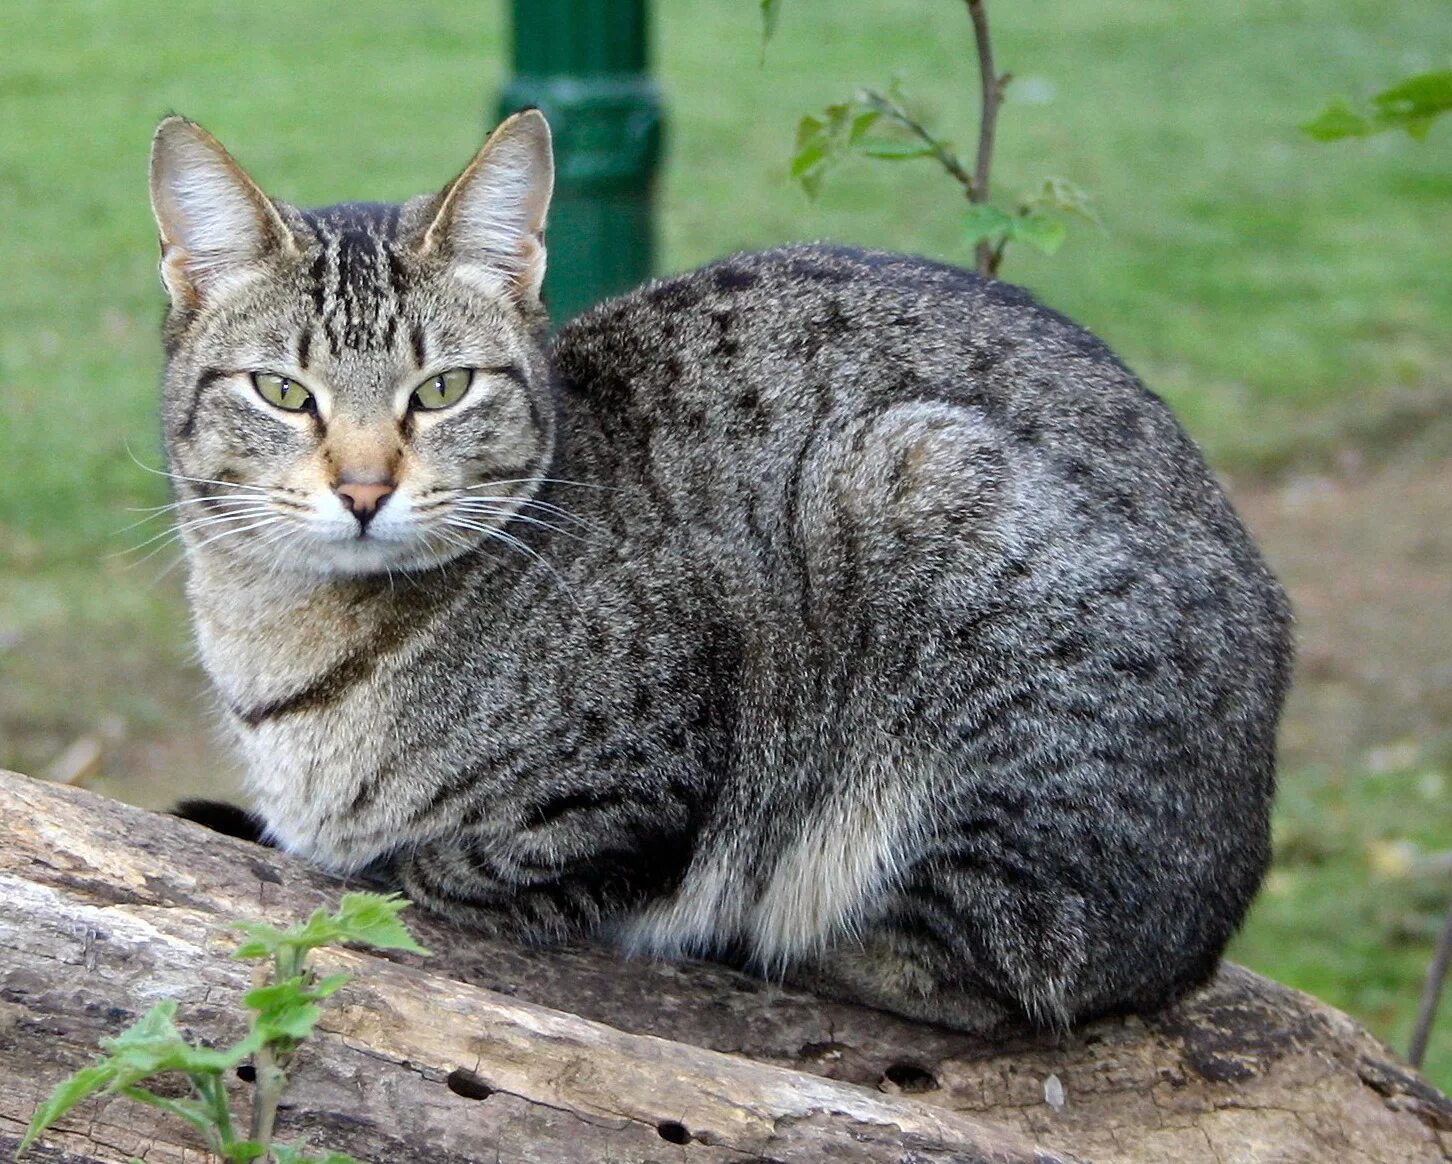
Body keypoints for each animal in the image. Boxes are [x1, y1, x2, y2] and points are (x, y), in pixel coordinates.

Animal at [150, 113, 1295, 1027]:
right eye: (282, 392)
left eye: (442, 389)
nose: (363, 488)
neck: (283, 635)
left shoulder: (628, 794)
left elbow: (429, 870)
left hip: (916, 489)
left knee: (978, 972)